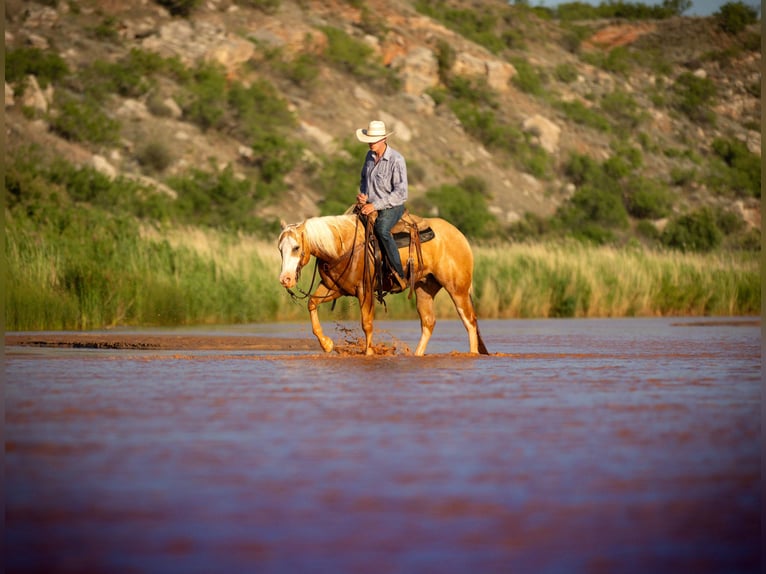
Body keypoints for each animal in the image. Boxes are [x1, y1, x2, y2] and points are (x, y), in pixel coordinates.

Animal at [278, 213, 489, 356]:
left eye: (296, 247)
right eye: (280, 249)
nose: (285, 279)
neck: (343, 247)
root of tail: (459, 235)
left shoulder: (365, 290)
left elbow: (367, 323)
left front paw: (369, 353)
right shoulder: (335, 288)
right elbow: (312, 303)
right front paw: (326, 344)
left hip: (458, 289)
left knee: (469, 321)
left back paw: (472, 354)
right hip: (424, 289)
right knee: (428, 322)